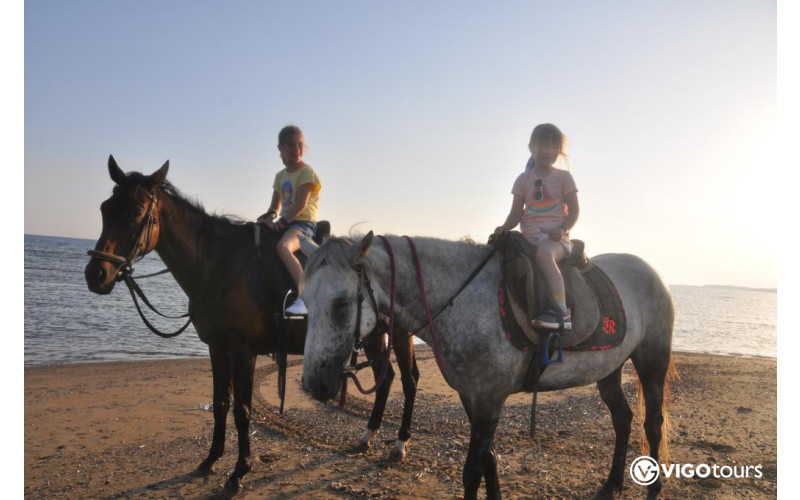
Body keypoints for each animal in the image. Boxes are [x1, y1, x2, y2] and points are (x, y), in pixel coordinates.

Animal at [84, 157, 420, 491]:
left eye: (137, 212)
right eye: (104, 208)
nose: (95, 274)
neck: (219, 266)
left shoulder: (243, 353)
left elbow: (242, 410)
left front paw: (239, 471)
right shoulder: (217, 349)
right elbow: (220, 403)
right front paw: (210, 460)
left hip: (400, 335)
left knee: (408, 380)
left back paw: (400, 444)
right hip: (375, 336)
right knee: (386, 379)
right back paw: (367, 436)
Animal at [299, 232, 675, 500]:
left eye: (341, 302)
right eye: (304, 299)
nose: (314, 384)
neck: (465, 300)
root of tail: (652, 272)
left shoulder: (488, 400)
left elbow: (472, 471)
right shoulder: (473, 397)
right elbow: (489, 462)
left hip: (652, 361)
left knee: (653, 424)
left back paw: (654, 488)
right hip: (609, 370)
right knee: (623, 419)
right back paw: (612, 484)